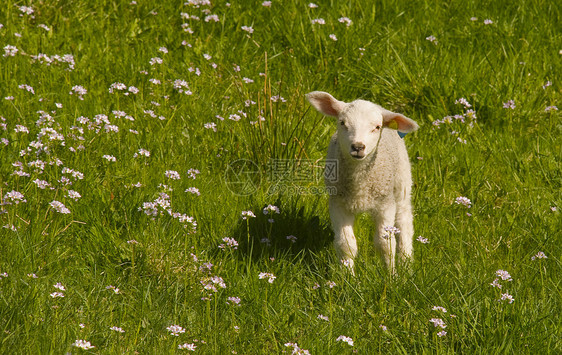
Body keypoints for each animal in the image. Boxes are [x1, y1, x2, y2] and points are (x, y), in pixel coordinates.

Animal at [304, 91, 418, 272]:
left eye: (377, 127)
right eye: (342, 123)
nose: (358, 147)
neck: (359, 184)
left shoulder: (385, 204)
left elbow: (386, 244)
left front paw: (391, 275)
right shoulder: (338, 204)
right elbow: (346, 244)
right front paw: (347, 275)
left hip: (402, 181)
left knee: (404, 220)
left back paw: (407, 263)